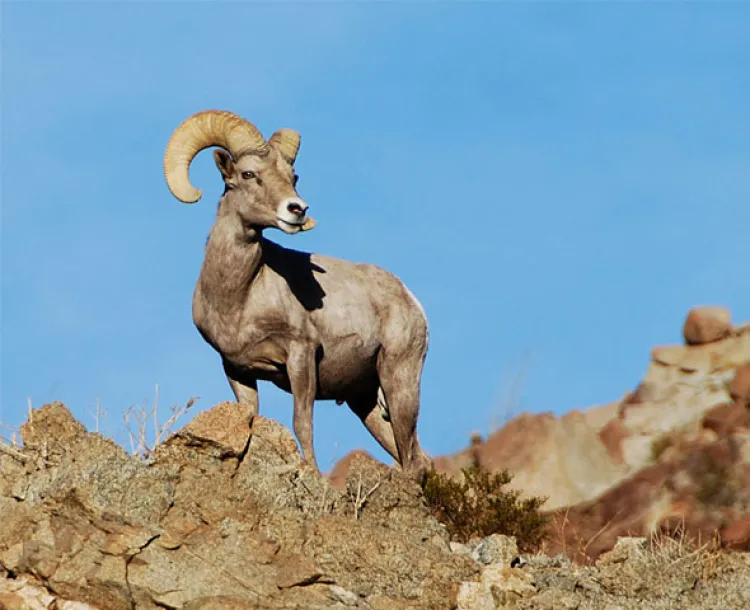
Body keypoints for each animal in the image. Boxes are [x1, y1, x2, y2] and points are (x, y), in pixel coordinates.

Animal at [164, 108, 434, 470]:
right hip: (366, 402)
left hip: (399, 382)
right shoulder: (237, 370)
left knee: (413, 460)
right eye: (248, 173)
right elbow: (249, 420)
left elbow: (302, 424)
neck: (239, 297)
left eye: (293, 177)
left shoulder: (300, 356)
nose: (297, 210)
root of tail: (411, 300)